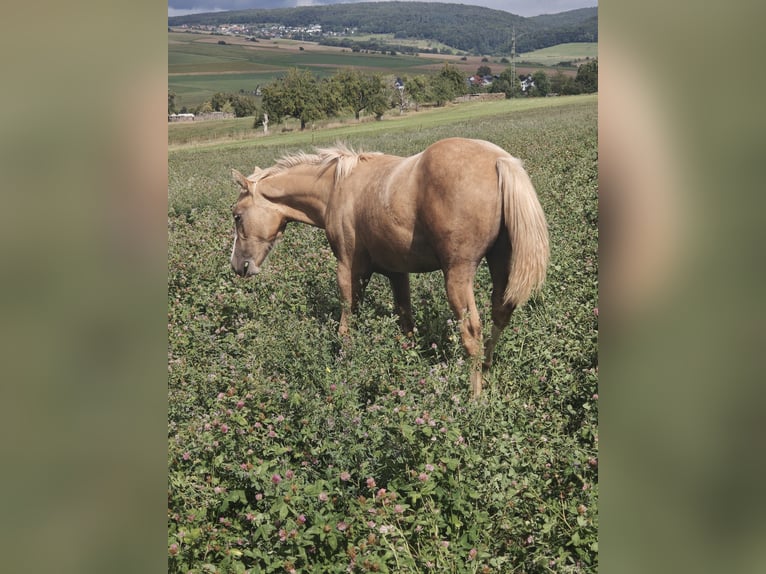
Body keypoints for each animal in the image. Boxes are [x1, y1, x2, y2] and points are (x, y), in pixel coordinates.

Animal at [230, 138, 549, 396]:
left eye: (237, 215)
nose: (238, 267)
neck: (337, 187)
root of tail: (499, 161)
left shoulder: (349, 269)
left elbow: (347, 317)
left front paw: (344, 360)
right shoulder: (397, 272)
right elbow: (405, 319)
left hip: (457, 274)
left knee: (471, 330)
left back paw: (475, 396)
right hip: (500, 263)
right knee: (500, 313)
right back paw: (486, 371)